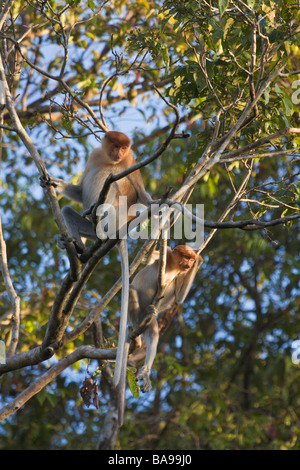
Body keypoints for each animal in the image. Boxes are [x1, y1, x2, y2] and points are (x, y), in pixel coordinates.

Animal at [40, 131, 152, 390]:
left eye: (124, 148)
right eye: (115, 145)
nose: (119, 153)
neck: (109, 161)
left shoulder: (130, 162)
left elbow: (141, 195)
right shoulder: (95, 155)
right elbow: (80, 190)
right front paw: (53, 183)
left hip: (114, 216)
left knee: (112, 193)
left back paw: (95, 217)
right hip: (88, 227)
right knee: (69, 211)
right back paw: (78, 247)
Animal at [118, 246, 203, 426]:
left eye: (190, 259)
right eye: (185, 256)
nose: (189, 263)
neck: (173, 266)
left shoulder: (181, 274)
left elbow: (179, 297)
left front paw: (199, 259)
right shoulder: (166, 255)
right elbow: (148, 258)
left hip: (152, 323)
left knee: (154, 335)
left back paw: (145, 372)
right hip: (135, 316)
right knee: (132, 289)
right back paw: (139, 320)